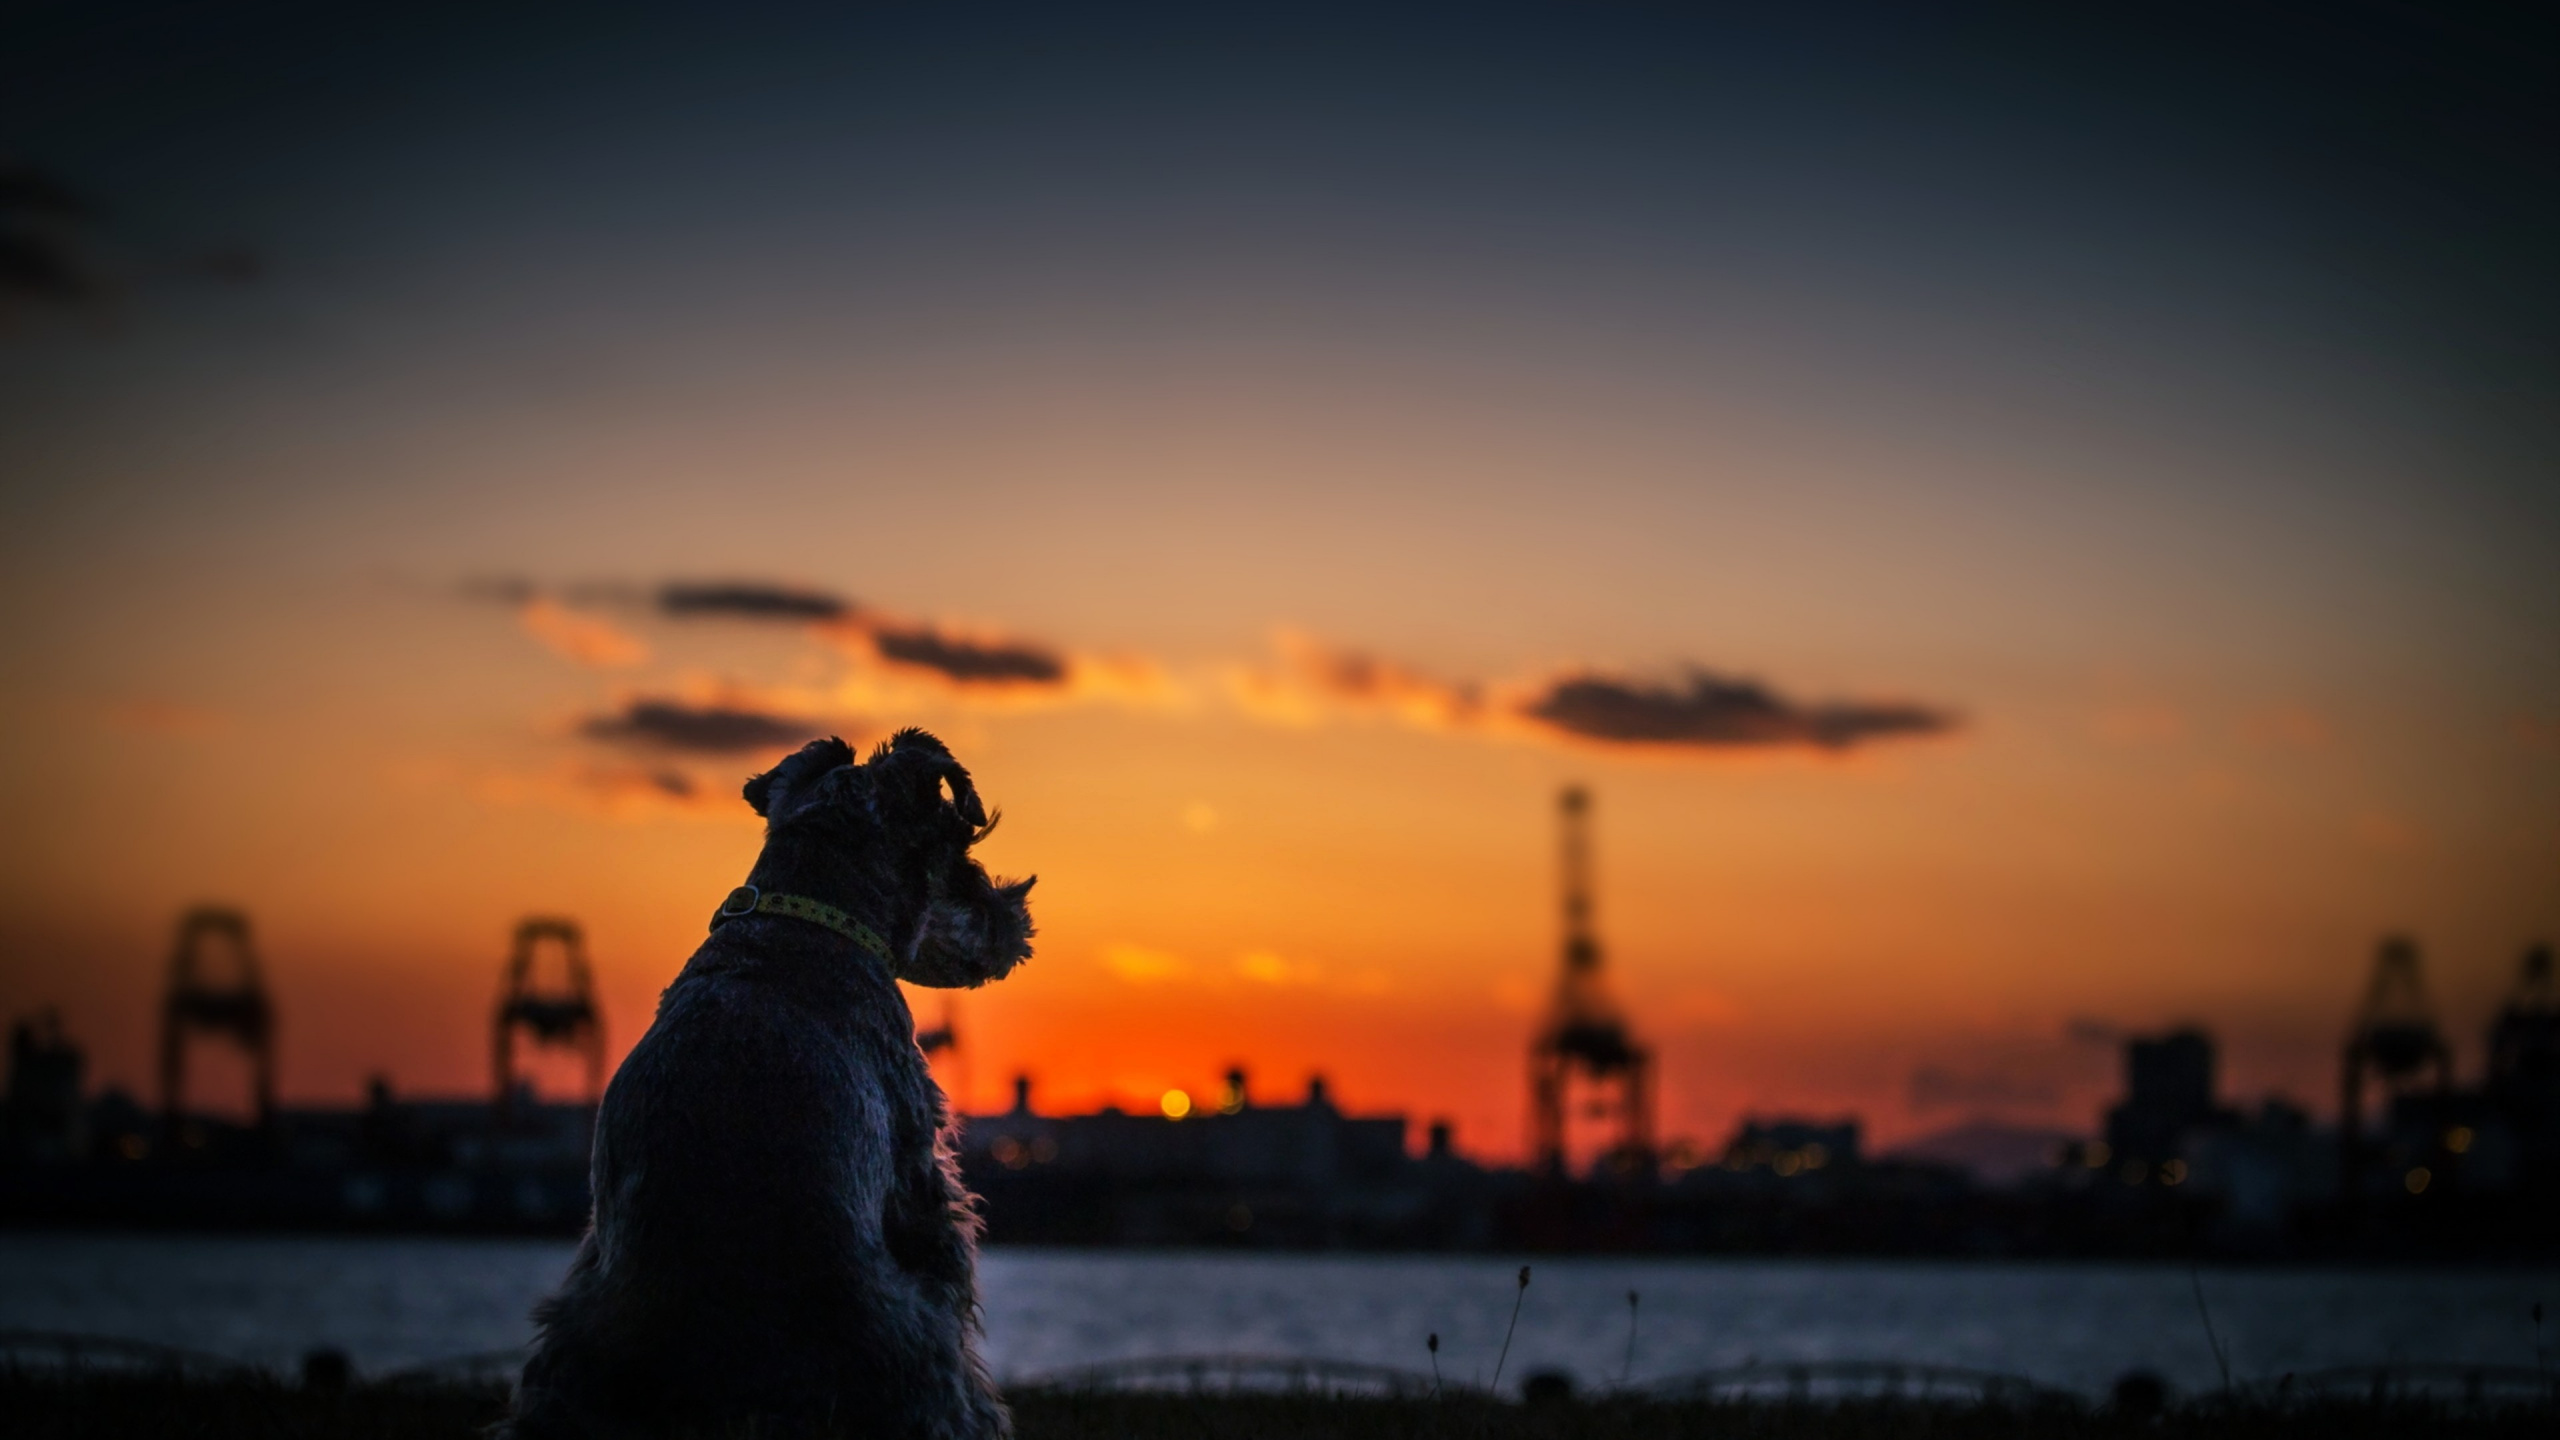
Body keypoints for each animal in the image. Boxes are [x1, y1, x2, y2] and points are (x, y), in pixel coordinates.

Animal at [504, 727, 1034, 1434]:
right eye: (960, 846)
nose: (1013, 919)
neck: (802, 915)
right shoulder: (920, 1184)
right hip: (906, 1340)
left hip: (567, 1347)